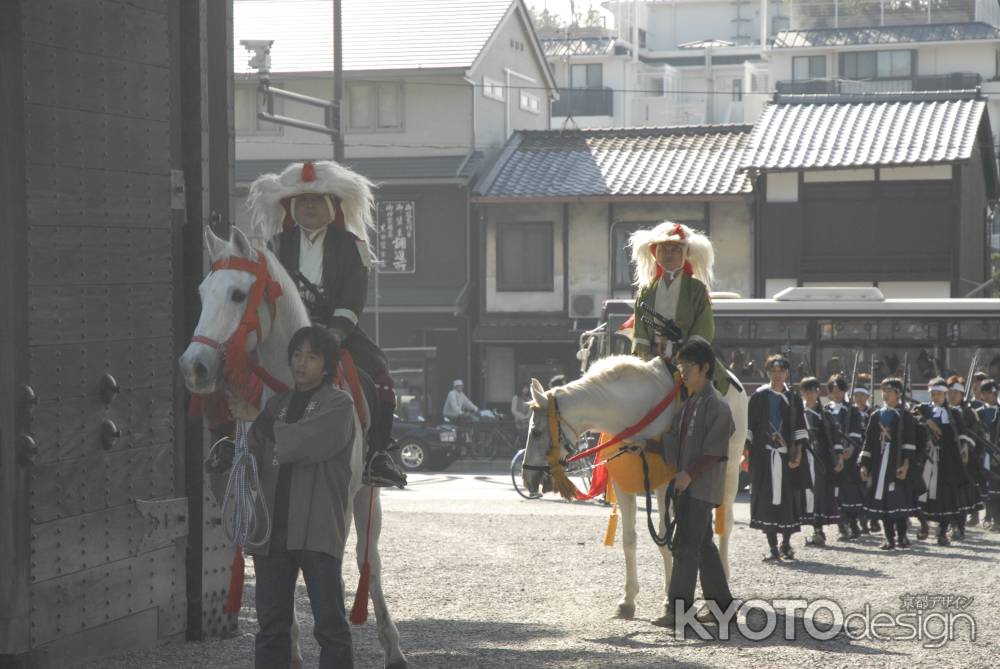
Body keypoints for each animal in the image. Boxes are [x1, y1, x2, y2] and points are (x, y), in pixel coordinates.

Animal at [177, 227, 406, 664]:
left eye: (237, 294)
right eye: (201, 292)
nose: (193, 366)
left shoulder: (335, 498)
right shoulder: (255, 496)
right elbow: (275, 564)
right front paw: (292, 650)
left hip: (366, 492)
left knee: (369, 559)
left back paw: (393, 647)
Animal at [520, 354, 748, 620]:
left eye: (536, 432)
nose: (528, 477)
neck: (631, 415)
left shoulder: (664, 485)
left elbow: (665, 540)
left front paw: (669, 601)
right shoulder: (622, 485)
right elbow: (629, 540)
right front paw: (628, 600)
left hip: (728, 467)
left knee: (724, 524)